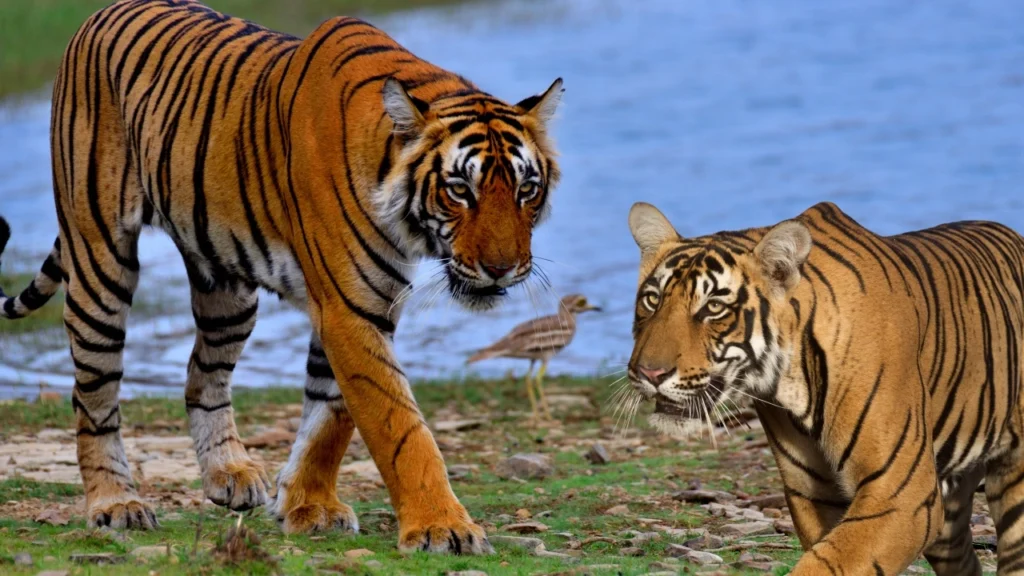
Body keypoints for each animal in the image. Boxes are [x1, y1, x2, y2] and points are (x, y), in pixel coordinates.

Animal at [0, 0, 564, 554]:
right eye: (460, 190)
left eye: (527, 190)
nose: (502, 268)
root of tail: (97, 16)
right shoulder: (349, 309)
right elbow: (399, 426)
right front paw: (441, 527)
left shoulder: (359, 304)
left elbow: (330, 416)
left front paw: (308, 506)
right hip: (99, 260)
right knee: (93, 393)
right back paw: (116, 504)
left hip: (227, 291)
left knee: (202, 373)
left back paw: (228, 473)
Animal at [624, 200, 1024, 575]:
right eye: (652, 299)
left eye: (714, 307)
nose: (649, 373)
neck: (790, 383)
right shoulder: (814, 491)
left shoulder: (902, 494)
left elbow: (830, 562)